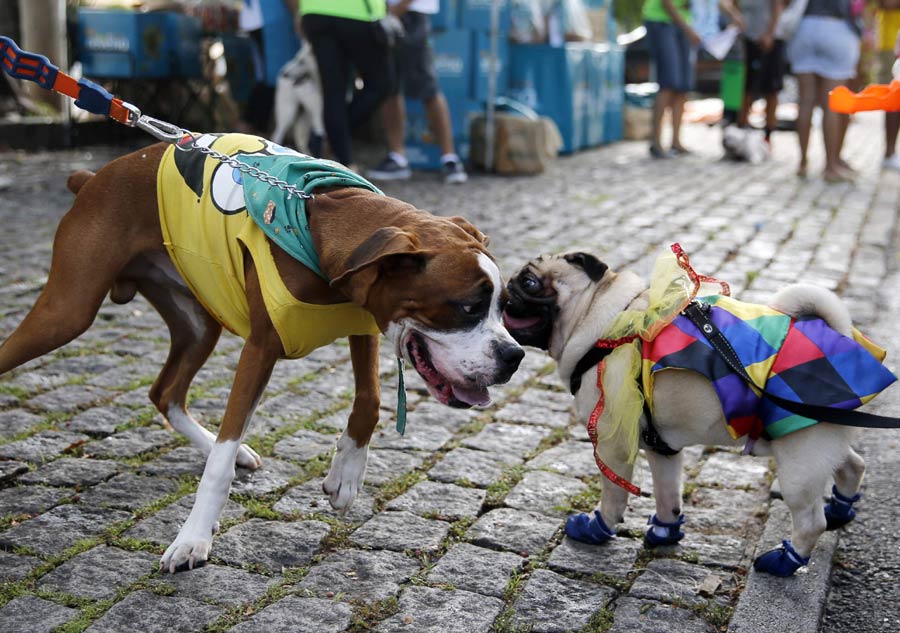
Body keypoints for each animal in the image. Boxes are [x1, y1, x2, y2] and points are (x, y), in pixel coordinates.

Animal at [0, 135, 520, 572]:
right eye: (468, 307)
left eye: (503, 305)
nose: (514, 356)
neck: (318, 220)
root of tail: (90, 179)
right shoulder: (261, 350)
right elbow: (220, 462)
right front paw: (193, 538)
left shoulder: (363, 323)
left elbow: (369, 400)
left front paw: (347, 474)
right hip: (67, 312)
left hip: (198, 326)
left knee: (164, 391)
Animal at [502, 249, 896, 576]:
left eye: (530, 282)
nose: (506, 289)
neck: (605, 319)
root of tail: (842, 335)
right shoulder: (661, 447)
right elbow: (668, 495)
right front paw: (665, 532)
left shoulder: (613, 444)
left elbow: (614, 495)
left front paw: (597, 528)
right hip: (817, 441)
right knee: (852, 465)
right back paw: (839, 511)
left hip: (799, 464)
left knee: (810, 520)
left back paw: (785, 561)